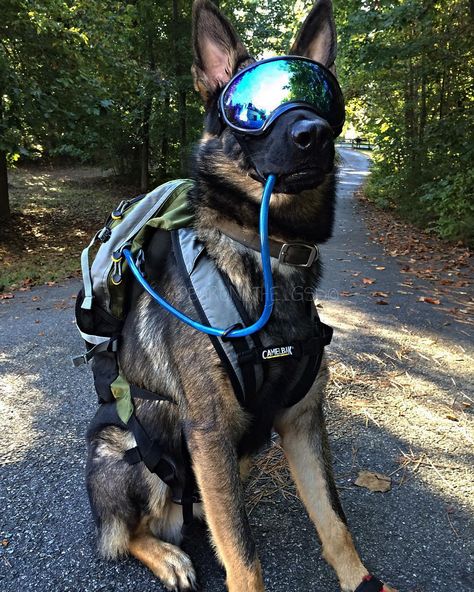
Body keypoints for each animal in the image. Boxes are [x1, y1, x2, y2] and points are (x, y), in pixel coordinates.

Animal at [86, 1, 396, 592]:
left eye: (323, 95)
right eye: (251, 107)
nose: (314, 133)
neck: (269, 252)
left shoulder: (302, 421)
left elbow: (335, 522)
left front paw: (364, 581)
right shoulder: (208, 432)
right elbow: (243, 556)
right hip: (137, 445)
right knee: (126, 534)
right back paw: (168, 555)